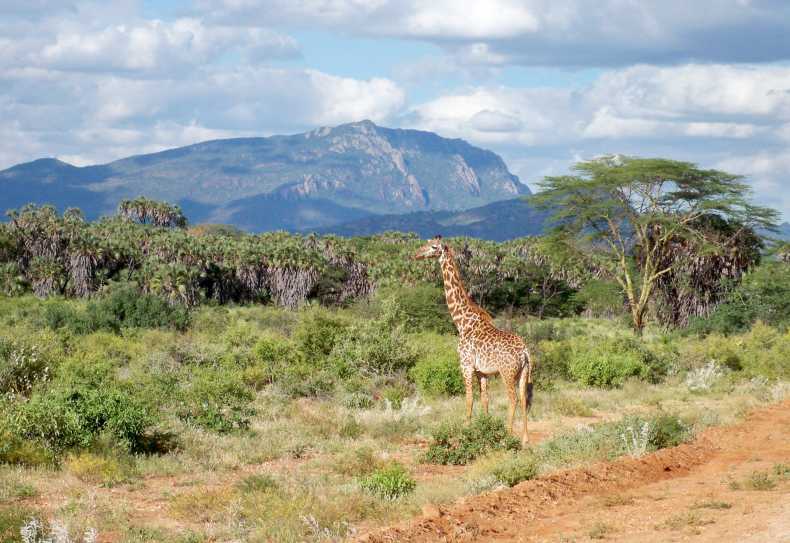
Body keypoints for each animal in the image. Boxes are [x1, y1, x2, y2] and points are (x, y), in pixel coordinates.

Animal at [414, 236, 534, 445]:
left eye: (434, 247)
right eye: (426, 243)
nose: (416, 254)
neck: (462, 322)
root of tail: (524, 352)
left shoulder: (466, 365)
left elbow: (469, 399)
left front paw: (466, 432)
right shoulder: (482, 372)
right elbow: (485, 399)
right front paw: (484, 429)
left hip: (507, 372)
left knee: (512, 399)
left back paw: (508, 436)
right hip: (523, 373)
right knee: (524, 398)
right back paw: (525, 438)